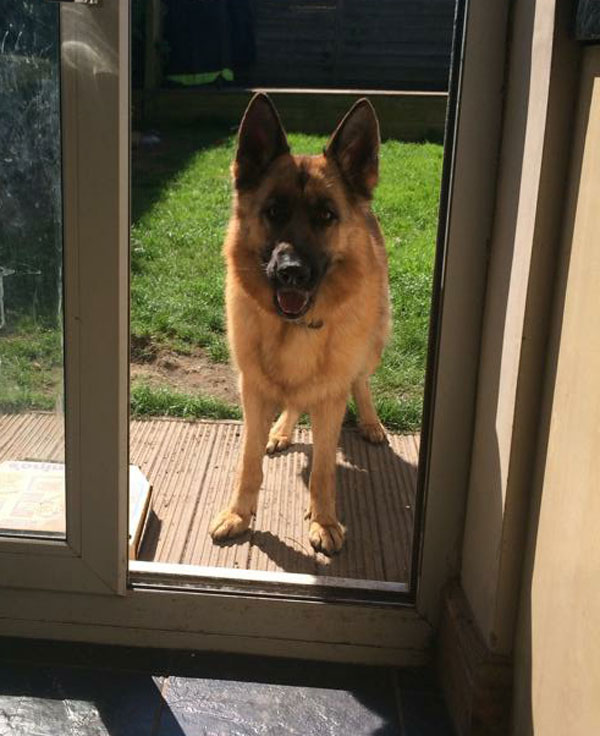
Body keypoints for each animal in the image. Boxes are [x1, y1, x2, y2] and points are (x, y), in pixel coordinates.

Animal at [209, 95, 392, 556]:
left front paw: (324, 520)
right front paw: (239, 514)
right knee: (292, 400)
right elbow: (249, 462)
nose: (291, 272)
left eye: (326, 215)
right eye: (274, 211)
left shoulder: (331, 399)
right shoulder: (252, 391)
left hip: (373, 345)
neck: (295, 328)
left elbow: (324, 469)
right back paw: (281, 429)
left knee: (361, 381)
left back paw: (370, 422)